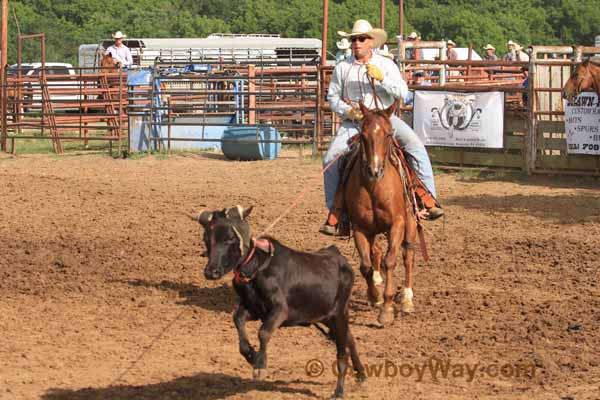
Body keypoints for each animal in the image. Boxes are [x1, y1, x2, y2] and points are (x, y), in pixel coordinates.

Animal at [342, 101, 418, 326]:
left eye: (388, 134)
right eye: (363, 135)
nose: (374, 171)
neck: (374, 187)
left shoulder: (397, 224)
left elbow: (390, 260)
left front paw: (387, 308)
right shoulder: (360, 227)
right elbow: (366, 265)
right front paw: (375, 297)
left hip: (410, 223)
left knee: (408, 256)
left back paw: (407, 300)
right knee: (375, 253)